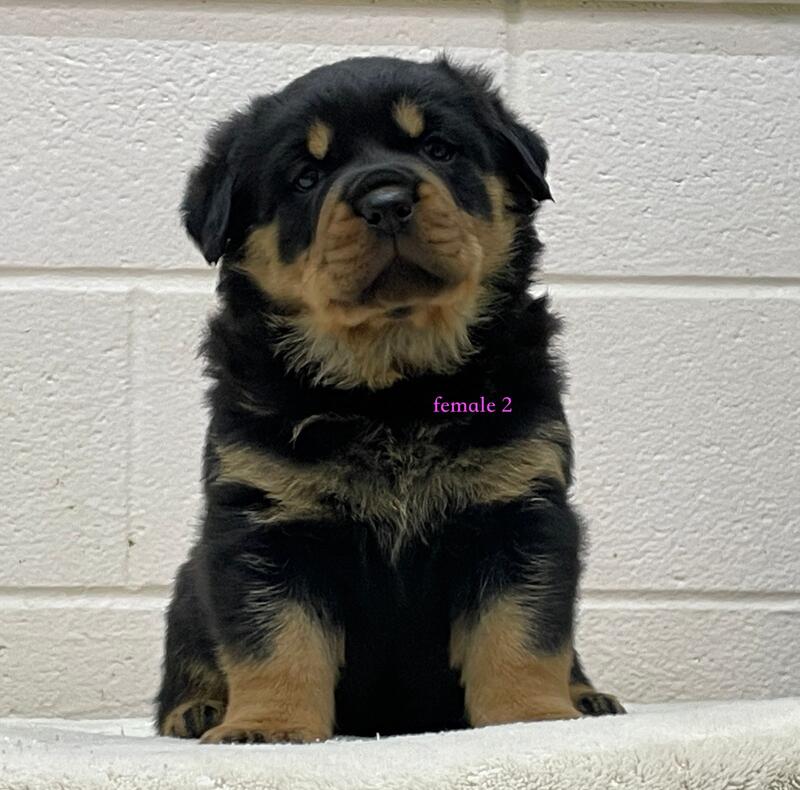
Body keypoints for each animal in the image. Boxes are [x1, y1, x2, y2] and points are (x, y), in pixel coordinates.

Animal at [155, 55, 624, 743]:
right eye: (305, 177)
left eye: (438, 148)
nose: (386, 200)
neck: (395, 388)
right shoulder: (262, 525)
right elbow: (274, 642)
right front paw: (265, 727)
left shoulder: (522, 512)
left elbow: (521, 634)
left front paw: (533, 719)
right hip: (190, 586)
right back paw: (199, 710)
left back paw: (586, 696)